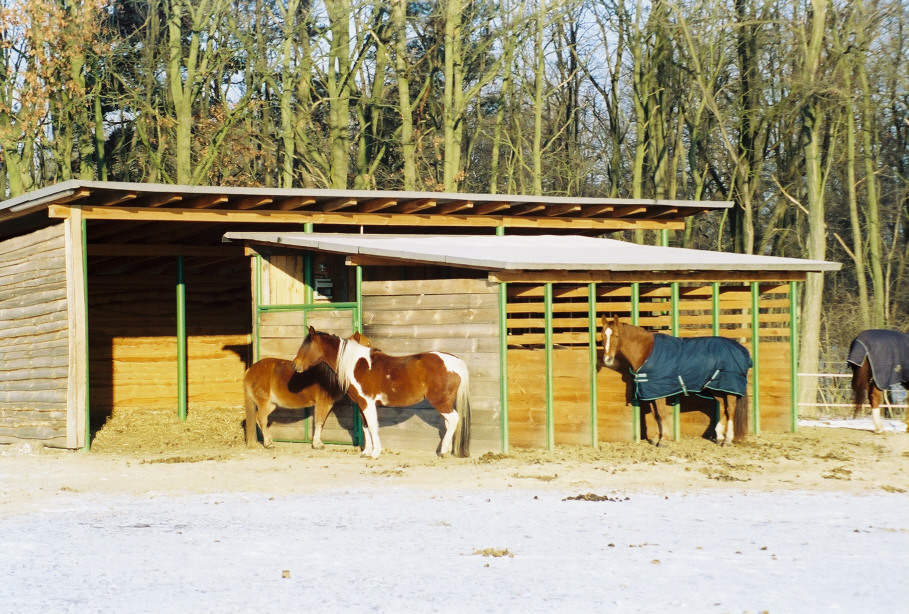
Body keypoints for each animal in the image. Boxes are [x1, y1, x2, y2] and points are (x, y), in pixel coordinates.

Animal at [291, 326, 471, 459]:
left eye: (307, 346)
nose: (295, 365)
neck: (355, 365)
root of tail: (455, 361)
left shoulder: (367, 402)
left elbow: (372, 426)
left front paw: (375, 453)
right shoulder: (361, 404)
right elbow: (365, 427)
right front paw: (366, 452)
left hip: (440, 402)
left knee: (453, 419)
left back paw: (443, 451)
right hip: (446, 402)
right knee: (449, 423)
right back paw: (446, 451)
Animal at [600, 315, 751, 447]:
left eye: (616, 335)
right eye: (602, 336)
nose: (607, 359)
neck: (646, 352)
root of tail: (741, 349)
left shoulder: (659, 391)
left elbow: (661, 414)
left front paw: (663, 441)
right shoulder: (652, 393)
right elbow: (655, 415)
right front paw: (656, 439)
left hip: (728, 387)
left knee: (730, 409)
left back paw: (727, 440)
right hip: (716, 388)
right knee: (724, 407)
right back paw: (720, 437)